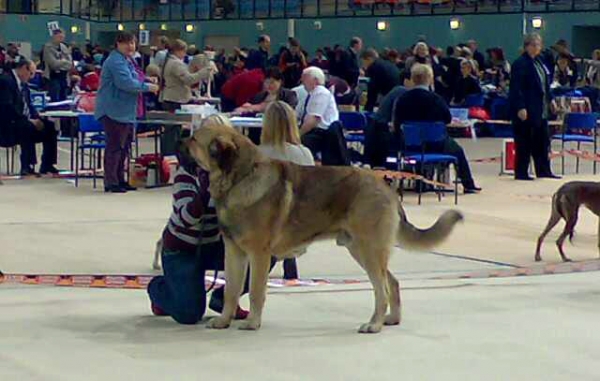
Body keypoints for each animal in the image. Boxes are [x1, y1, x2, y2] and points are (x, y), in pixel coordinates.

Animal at [185, 123, 462, 332]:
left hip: (369, 251)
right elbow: (231, 290)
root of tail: (387, 189)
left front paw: (252, 322)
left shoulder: (258, 255)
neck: (239, 177)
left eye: (194, 139)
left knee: (381, 289)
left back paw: (374, 324)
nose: (180, 137)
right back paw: (391, 319)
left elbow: (255, 291)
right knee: (391, 282)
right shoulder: (234, 253)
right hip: (361, 250)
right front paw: (224, 321)